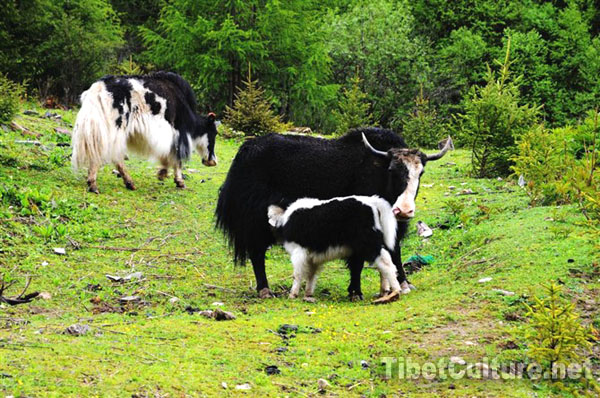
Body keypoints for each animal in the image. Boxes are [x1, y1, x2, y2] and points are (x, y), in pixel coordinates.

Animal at [71, 71, 218, 193]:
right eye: (214, 132)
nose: (213, 161)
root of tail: (98, 88)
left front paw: (164, 173)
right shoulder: (177, 133)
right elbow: (177, 158)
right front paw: (176, 180)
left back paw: (127, 183)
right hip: (115, 128)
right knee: (109, 153)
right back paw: (95, 184)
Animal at [270, 194, 410, 300]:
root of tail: (373, 202)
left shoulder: (299, 252)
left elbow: (298, 274)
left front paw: (293, 294)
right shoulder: (312, 257)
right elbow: (311, 275)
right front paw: (308, 294)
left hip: (369, 244)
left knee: (386, 263)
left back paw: (395, 290)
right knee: (383, 264)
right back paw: (384, 292)